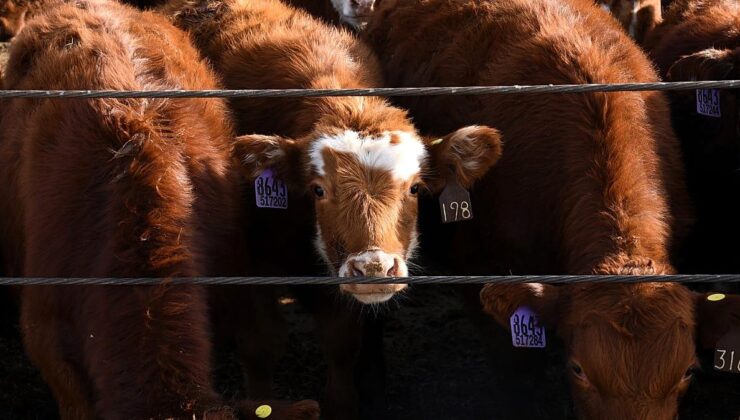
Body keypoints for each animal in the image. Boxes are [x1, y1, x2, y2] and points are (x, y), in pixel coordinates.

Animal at [161, 0, 503, 417]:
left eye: (415, 187)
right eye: (319, 189)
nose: (374, 268)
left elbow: (341, 344)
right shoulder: (246, 264)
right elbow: (260, 345)